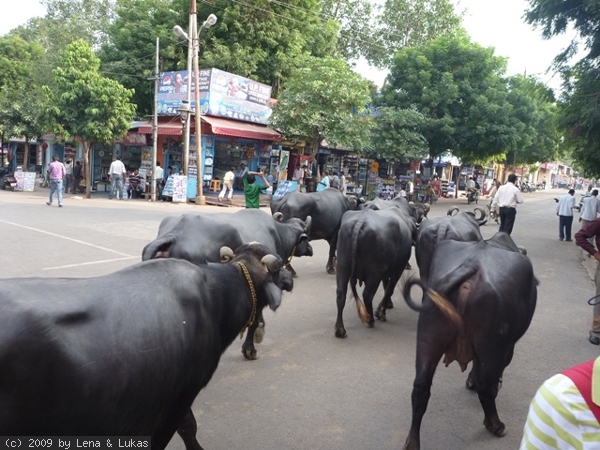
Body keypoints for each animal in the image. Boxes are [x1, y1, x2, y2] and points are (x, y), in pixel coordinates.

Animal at [0, 243, 292, 450]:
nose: (290, 279)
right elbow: (183, 428)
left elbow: (188, 426)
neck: (215, 299)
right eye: (278, 268)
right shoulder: (180, 395)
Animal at [143, 209, 312, 360]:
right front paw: (251, 349)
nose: (310, 249)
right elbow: (254, 320)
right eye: (306, 237)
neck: (278, 234)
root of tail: (173, 236)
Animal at [332, 206, 418, 336]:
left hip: (342, 266)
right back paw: (370, 319)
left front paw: (388, 304)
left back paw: (340, 329)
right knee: (367, 295)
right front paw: (381, 312)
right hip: (375, 272)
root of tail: (360, 221)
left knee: (341, 295)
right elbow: (389, 289)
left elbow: (385, 285)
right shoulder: (398, 269)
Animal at [400, 232, 536, 450]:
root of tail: (471, 266)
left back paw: (412, 442)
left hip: (428, 337)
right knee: (486, 386)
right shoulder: (509, 346)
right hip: (494, 346)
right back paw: (496, 425)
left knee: (421, 387)